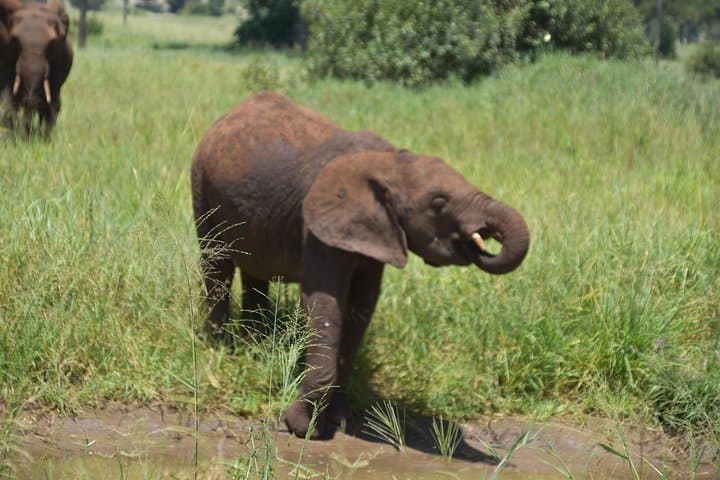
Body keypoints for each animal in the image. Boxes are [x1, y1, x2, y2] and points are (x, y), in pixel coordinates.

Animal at [0, 0, 72, 138]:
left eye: (52, 44)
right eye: (15, 41)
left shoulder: (58, 61)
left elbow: (50, 103)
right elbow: (8, 97)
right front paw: (14, 139)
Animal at [191, 92, 530, 439]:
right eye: (439, 203)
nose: (484, 238)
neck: (388, 162)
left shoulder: (376, 234)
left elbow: (360, 309)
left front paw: (339, 418)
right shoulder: (317, 228)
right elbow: (325, 305)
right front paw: (302, 427)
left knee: (255, 271)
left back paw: (256, 344)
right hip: (201, 184)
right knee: (217, 264)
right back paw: (223, 347)